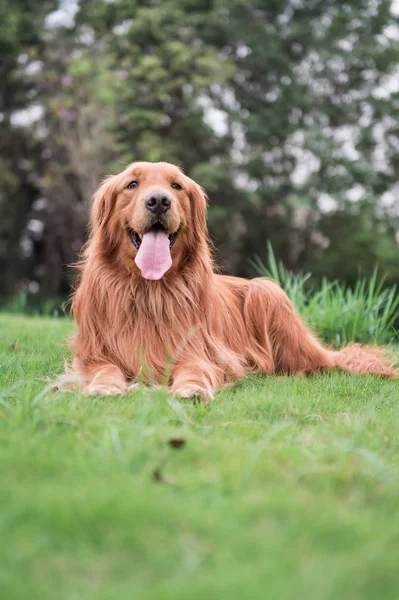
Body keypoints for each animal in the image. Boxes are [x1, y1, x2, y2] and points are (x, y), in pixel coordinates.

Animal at [67, 162, 398, 400]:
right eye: (132, 184)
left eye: (176, 186)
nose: (159, 200)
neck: (149, 289)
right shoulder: (95, 352)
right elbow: (104, 369)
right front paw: (105, 386)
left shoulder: (198, 350)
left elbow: (196, 369)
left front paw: (192, 388)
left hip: (267, 291)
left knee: (324, 363)